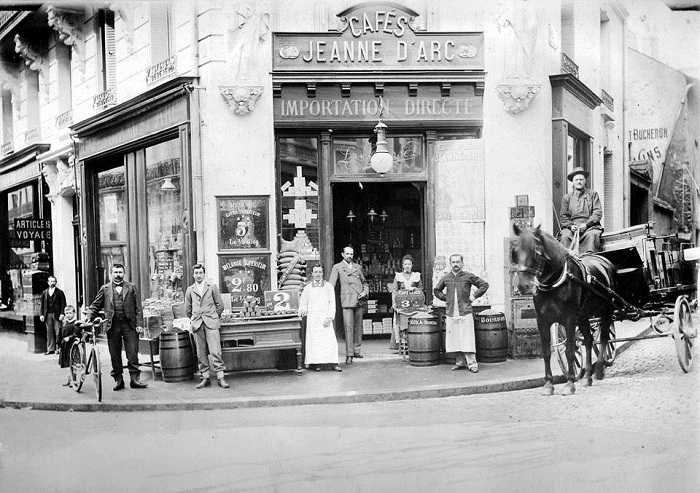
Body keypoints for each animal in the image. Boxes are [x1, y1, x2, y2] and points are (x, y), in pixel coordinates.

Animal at [508, 225, 616, 394]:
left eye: (537, 252)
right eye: (514, 251)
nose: (523, 286)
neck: (554, 282)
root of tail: (603, 260)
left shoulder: (569, 319)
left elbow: (570, 350)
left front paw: (570, 383)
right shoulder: (542, 320)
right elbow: (546, 352)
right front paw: (548, 385)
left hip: (606, 310)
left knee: (605, 337)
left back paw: (599, 370)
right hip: (583, 316)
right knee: (589, 340)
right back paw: (587, 377)